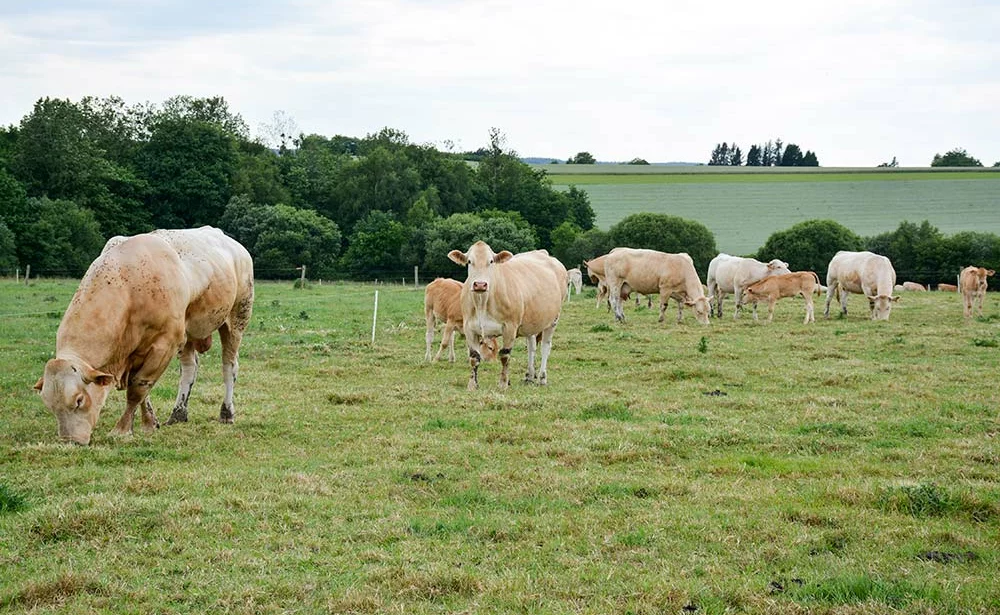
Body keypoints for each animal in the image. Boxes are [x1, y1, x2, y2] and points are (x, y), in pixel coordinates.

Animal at [34, 229, 254, 446]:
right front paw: (149, 423)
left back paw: (226, 413)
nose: (69, 441)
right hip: (188, 333)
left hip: (237, 319)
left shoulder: (164, 345)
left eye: (79, 400)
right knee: (189, 368)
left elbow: (138, 389)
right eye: (50, 406)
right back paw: (178, 413)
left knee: (229, 366)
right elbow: (142, 393)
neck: (129, 285)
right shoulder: (136, 353)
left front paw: (122, 430)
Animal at [450, 242, 568, 390]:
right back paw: (529, 376)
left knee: (545, 347)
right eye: (470, 261)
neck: (482, 302)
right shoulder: (469, 328)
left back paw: (542, 378)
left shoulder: (510, 326)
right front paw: (472, 384)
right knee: (531, 347)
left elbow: (505, 355)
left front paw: (503, 383)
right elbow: (474, 357)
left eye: (491, 261)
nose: (480, 284)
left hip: (553, 320)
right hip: (530, 322)